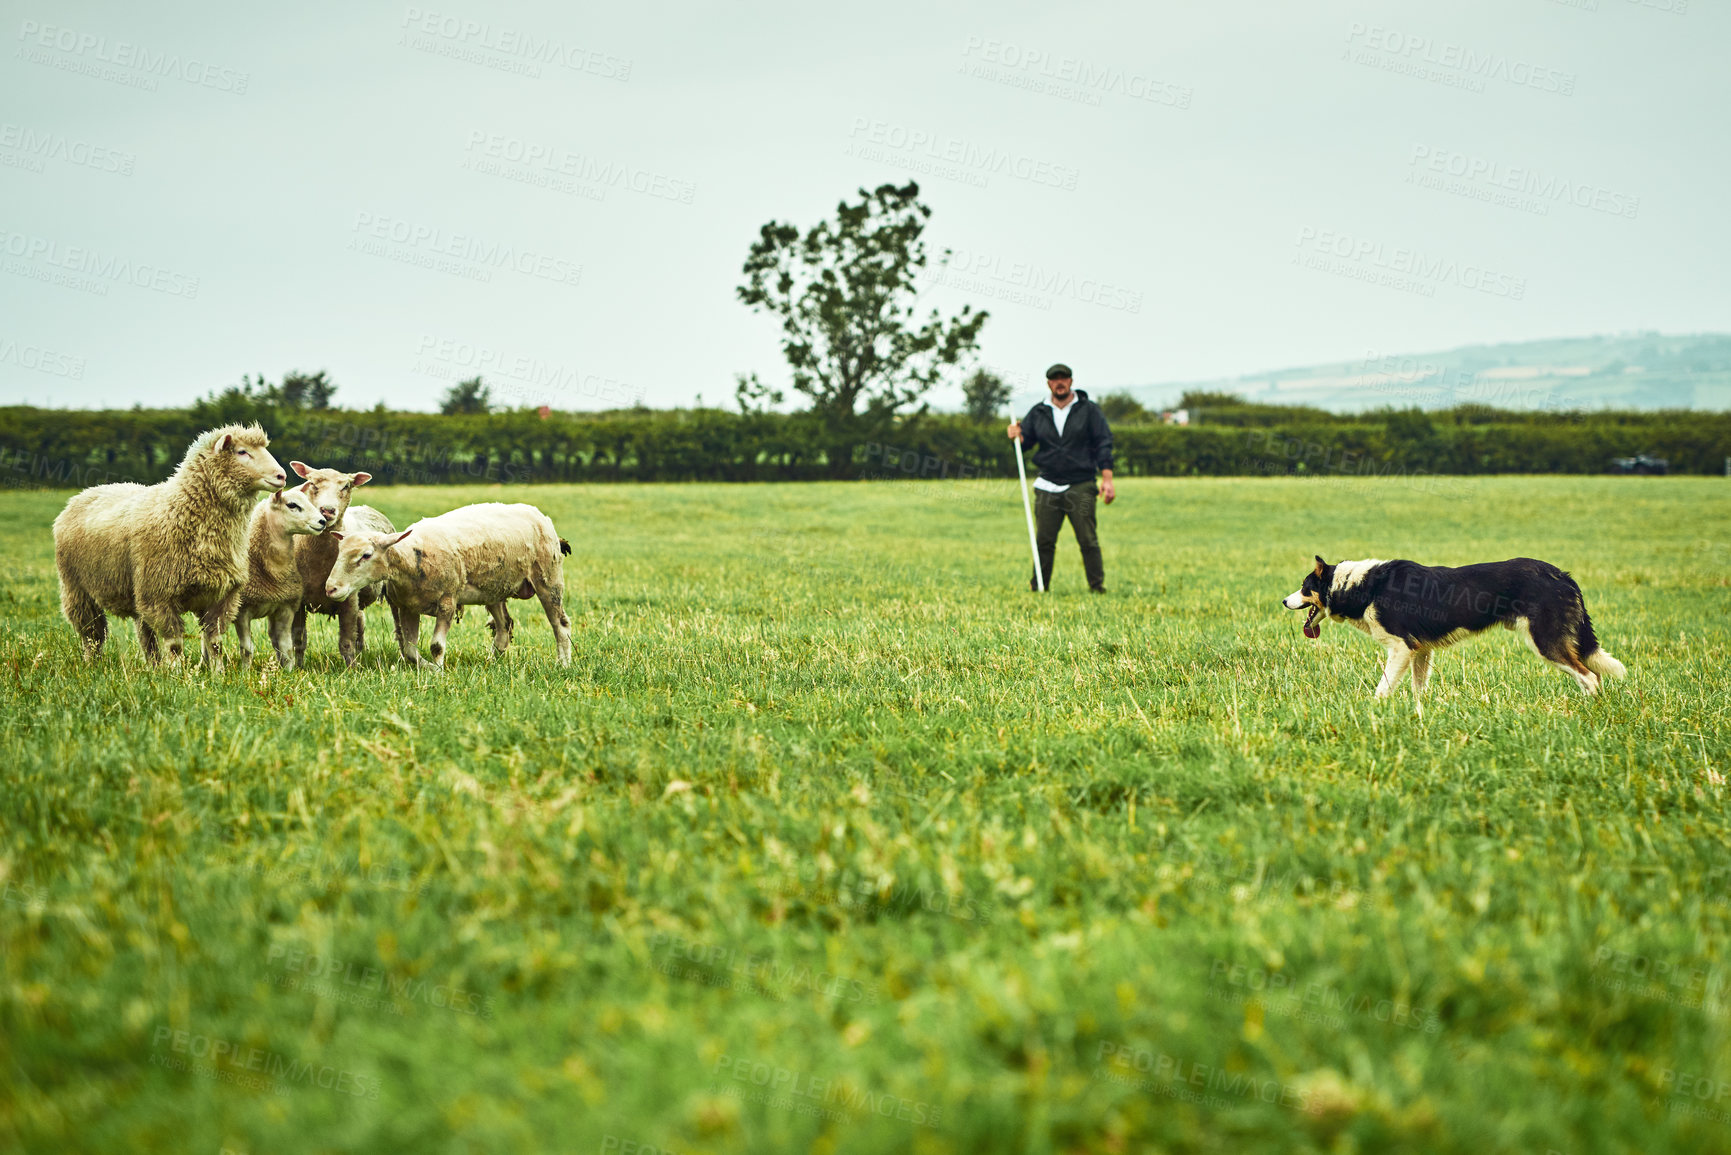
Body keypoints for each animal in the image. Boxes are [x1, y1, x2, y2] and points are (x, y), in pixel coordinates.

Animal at [53, 424, 287, 668]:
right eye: (242, 452)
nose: (282, 476)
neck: (181, 509)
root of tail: (85, 493)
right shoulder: (160, 594)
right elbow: (174, 644)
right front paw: (176, 672)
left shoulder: (222, 596)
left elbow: (214, 642)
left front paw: (218, 672)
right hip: (77, 590)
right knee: (92, 635)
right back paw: (93, 664)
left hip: (137, 593)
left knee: (145, 636)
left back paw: (153, 667)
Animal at [231, 488, 328, 668]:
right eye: (292, 505)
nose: (322, 521)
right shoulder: (242, 611)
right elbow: (247, 649)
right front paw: (245, 672)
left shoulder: (285, 608)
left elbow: (286, 648)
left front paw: (289, 671)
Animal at [321, 502, 571, 671]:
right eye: (339, 552)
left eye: (366, 555)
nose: (331, 589)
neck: (412, 558)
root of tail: (539, 514)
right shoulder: (408, 607)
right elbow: (410, 650)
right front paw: (428, 668)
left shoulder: (447, 602)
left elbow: (436, 646)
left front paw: (439, 671)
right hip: (494, 590)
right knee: (503, 627)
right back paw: (491, 662)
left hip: (548, 578)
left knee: (560, 624)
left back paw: (563, 663)